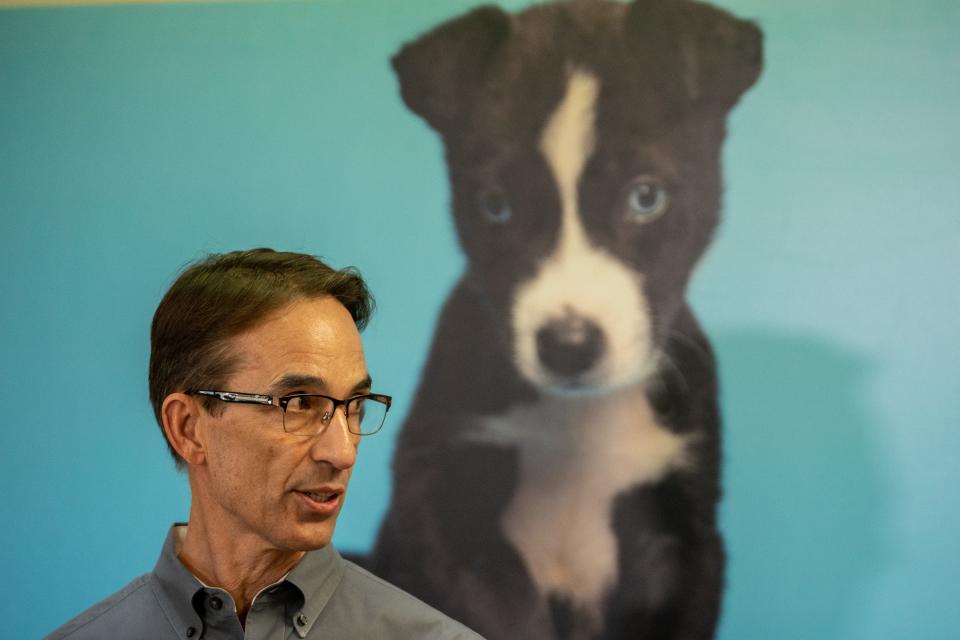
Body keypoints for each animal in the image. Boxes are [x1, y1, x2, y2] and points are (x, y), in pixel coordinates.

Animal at [372, 2, 760, 636]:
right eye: (495, 206)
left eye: (646, 197)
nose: (569, 346)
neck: (578, 423)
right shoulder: (439, 501)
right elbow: (504, 612)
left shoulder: (686, 540)